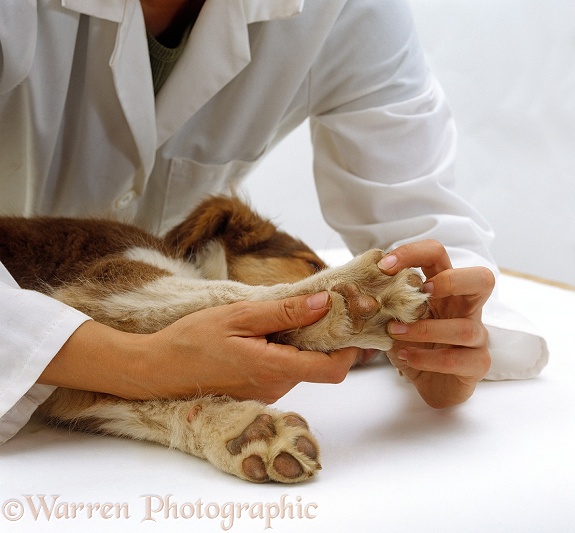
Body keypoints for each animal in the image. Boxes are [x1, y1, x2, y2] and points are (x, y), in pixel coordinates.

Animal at [0, 194, 428, 482]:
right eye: (309, 262)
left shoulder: (79, 386)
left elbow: (150, 408)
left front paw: (240, 431)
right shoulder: (102, 284)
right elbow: (229, 294)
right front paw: (356, 297)